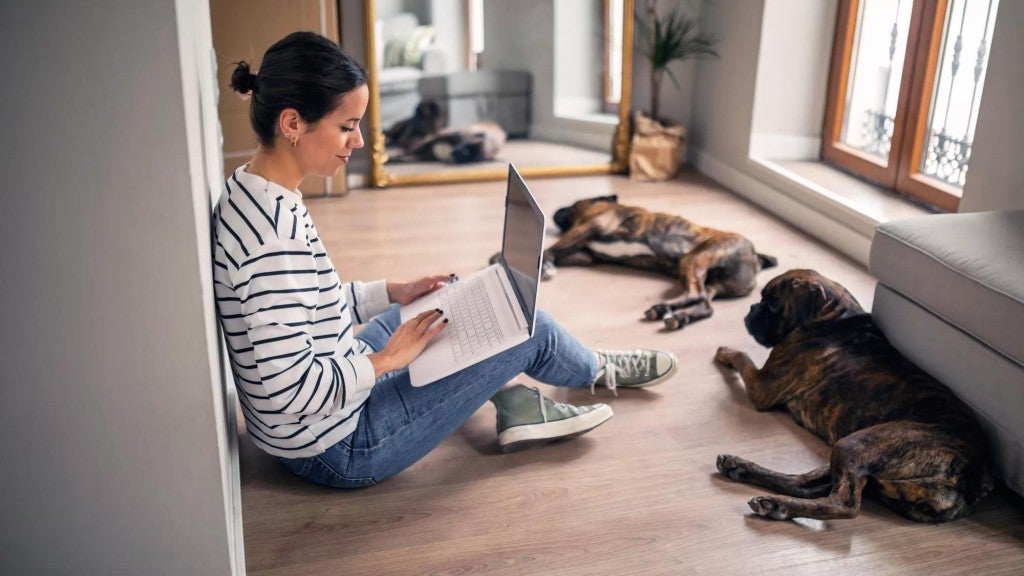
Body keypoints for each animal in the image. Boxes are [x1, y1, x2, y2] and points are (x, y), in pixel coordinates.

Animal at [544, 192, 774, 327]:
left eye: (570, 205)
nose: (555, 212)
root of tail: (756, 257)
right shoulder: (585, 255)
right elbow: (556, 253)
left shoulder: (588, 227)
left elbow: (550, 249)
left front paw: (545, 266)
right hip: (714, 283)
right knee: (706, 304)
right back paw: (676, 315)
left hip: (694, 259)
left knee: (696, 294)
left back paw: (665, 308)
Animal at [712, 268, 991, 520]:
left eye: (771, 303)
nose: (751, 309)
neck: (833, 315)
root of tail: (977, 473)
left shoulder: (762, 386)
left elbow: (743, 357)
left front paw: (725, 352)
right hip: (850, 454)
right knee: (803, 483)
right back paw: (742, 471)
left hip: (854, 445)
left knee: (842, 505)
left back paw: (778, 505)